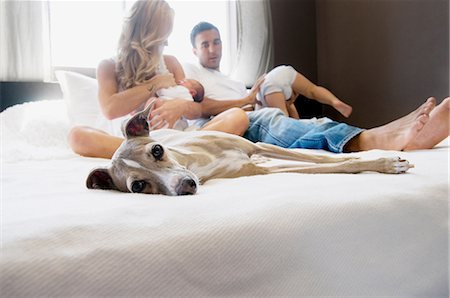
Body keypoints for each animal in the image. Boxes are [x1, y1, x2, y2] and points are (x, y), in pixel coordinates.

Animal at [86, 102, 414, 196]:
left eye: (157, 151)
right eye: (138, 186)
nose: (187, 185)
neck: (198, 162)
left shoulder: (259, 146)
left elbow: (322, 158)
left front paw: (383, 159)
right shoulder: (258, 167)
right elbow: (330, 165)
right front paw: (387, 163)